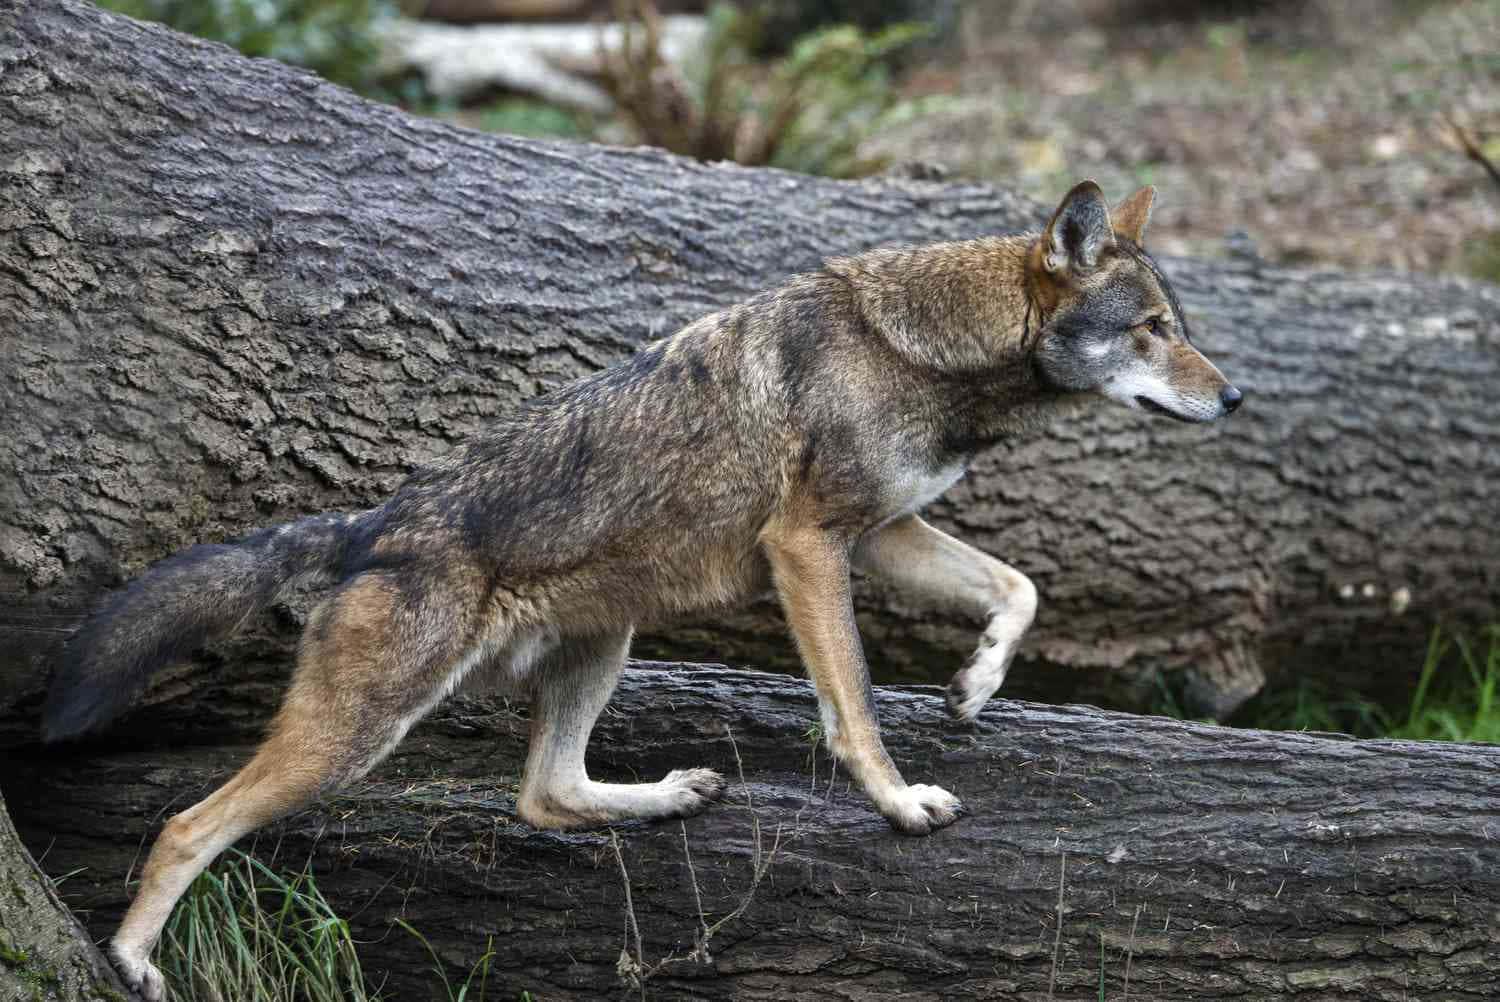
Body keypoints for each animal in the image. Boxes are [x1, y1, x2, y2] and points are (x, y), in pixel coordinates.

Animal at [43, 181, 1239, 998]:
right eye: (1152, 330)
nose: (1235, 398)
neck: (927, 353)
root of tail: (368, 528)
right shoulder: (810, 548)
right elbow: (853, 705)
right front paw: (899, 803)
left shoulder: (882, 533)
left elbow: (1019, 587)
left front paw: (977, 685)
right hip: (358, 735)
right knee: (188, 826)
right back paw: (133, 961)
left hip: (601, 646)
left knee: (545, 793)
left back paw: (672, 794)